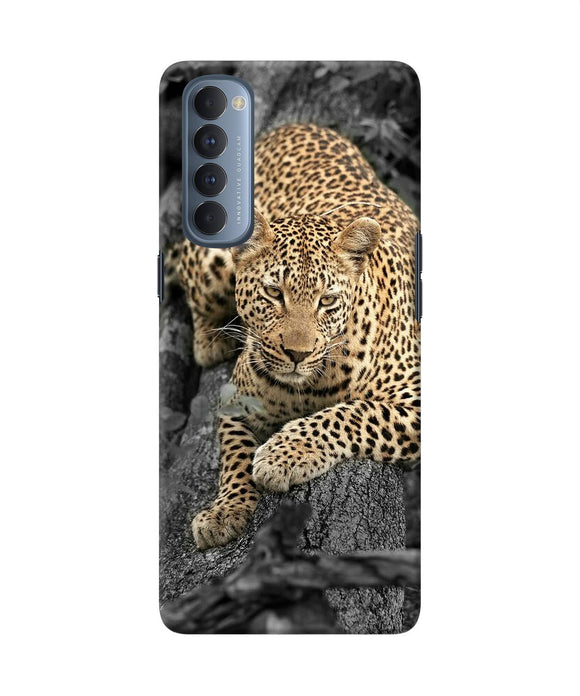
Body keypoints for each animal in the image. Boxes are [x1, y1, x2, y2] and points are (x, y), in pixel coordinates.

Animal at [170, 123, 420, 550]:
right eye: (274, 293)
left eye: (327, 300)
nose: (297, 354)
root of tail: (290, 126)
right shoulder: (235, 400)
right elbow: (234, 456)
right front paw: (225, 510)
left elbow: (352, 413)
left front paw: (282, 455)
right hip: (211, 261)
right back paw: (210, 340)